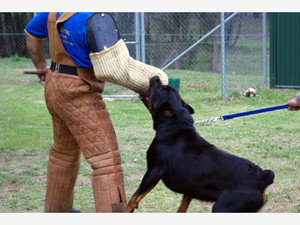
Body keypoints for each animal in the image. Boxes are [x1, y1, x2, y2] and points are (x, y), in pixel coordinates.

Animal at [124, 75, 274, 213]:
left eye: (161, 88)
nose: (156, 76)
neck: (173, 125)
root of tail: (261, 179)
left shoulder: (154, 171)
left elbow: (133, 199)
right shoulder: (190, 188)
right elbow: (181, 208)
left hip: (222, 208)